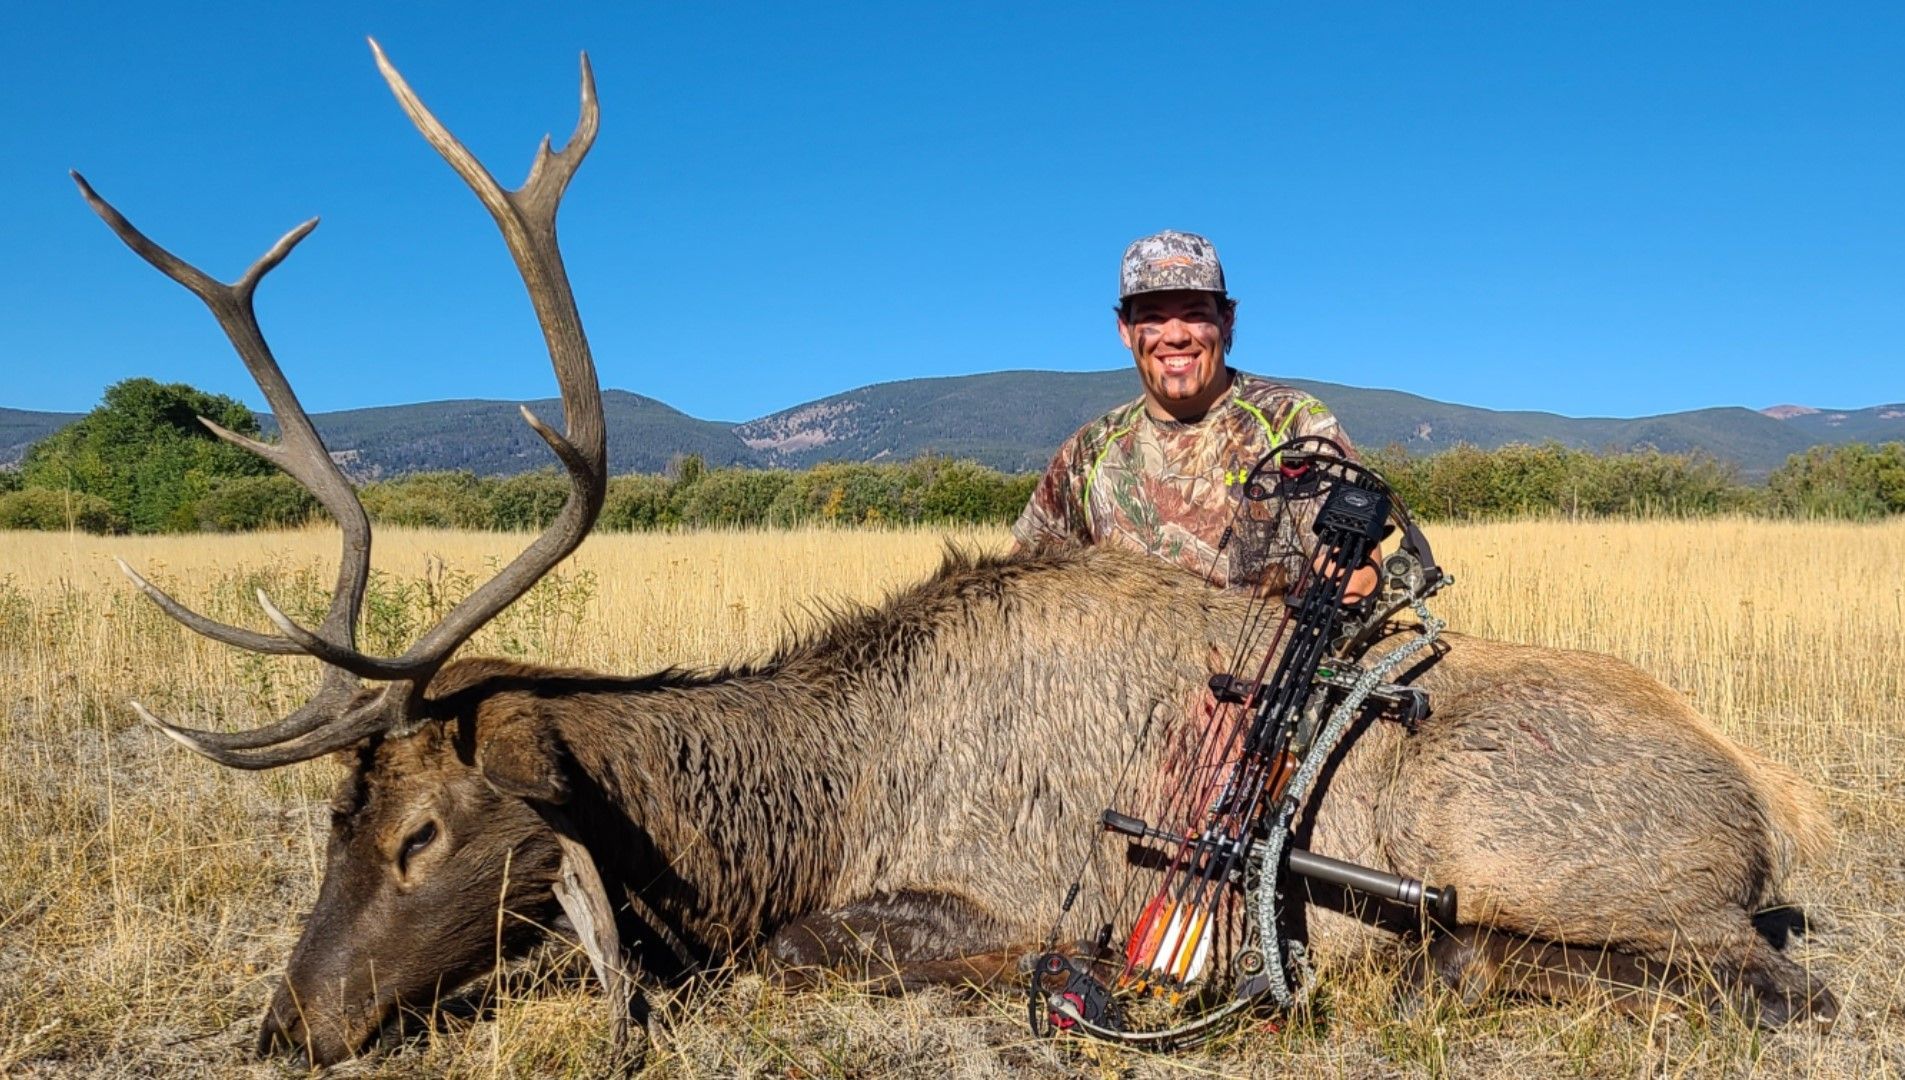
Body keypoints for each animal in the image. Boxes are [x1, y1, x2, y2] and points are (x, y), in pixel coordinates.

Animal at [78, 43, 1838, 1068]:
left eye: (427, 833)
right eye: (332, 819)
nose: (283, 1025)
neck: (794, 810)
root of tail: (1768, 805)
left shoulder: (1004, 896)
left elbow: (802, 954)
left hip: (1559, 856)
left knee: (1771, 981)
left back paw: (1431, 972)